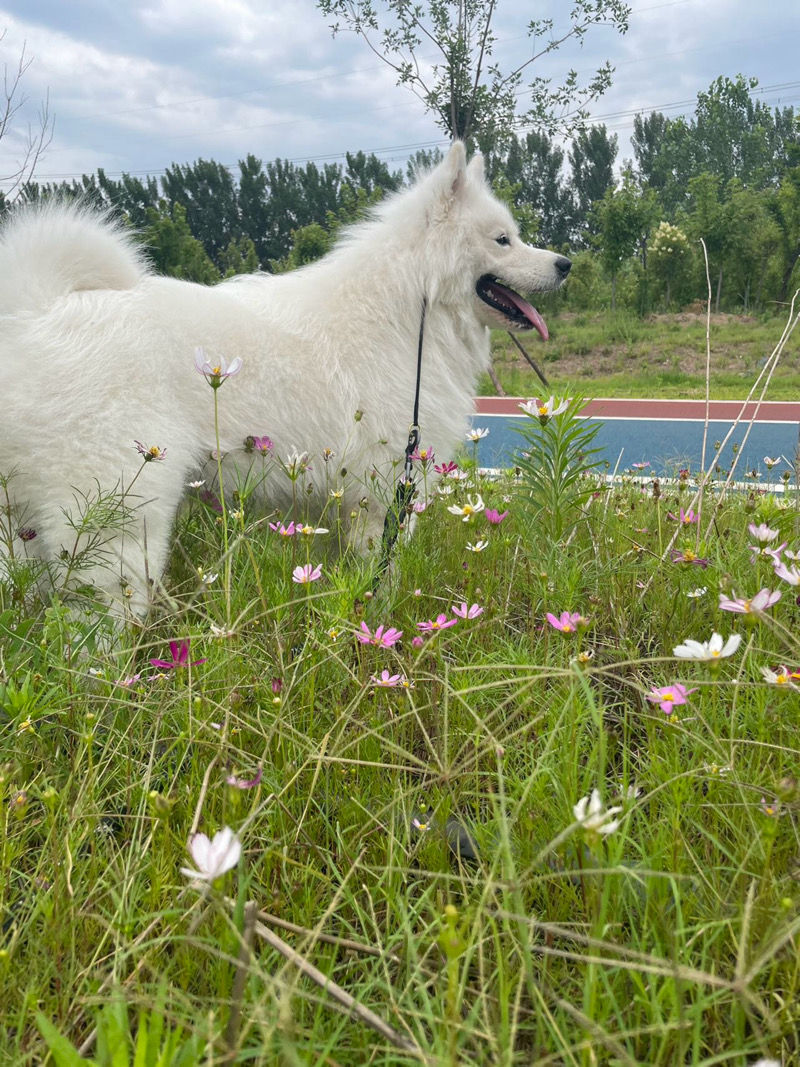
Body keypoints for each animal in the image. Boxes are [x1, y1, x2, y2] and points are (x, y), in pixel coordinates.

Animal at [1, 141, 576, 618]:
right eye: (503, 240)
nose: (566, 264)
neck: (410, 309)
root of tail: (34, 315)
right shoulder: (384, 498)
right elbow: (383, 580)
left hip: (27, 526)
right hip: (121, 526)